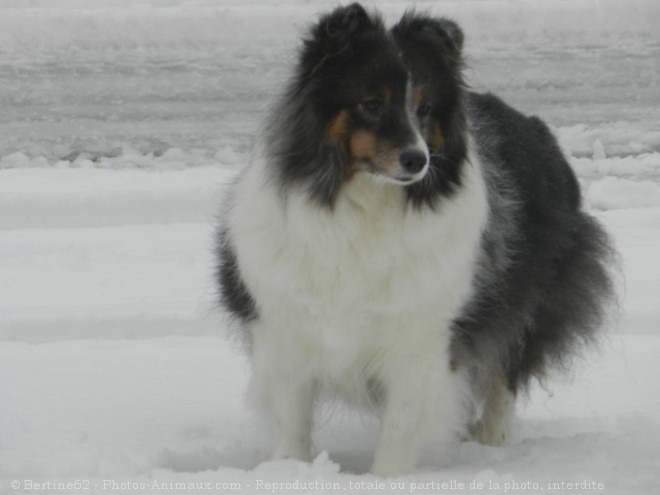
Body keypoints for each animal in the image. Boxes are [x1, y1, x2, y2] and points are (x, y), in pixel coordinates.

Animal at [215, 1, 612, 478]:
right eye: (371, 103)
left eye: (424, 108)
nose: (417, 160)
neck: (367, 205)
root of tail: (534, 125)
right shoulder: (284, 331)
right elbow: (292, 417)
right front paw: (290, 471)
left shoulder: (422, 341)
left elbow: (402, 425)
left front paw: (386, 479)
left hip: (529, 298)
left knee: (505, 371)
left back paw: (492, 442)